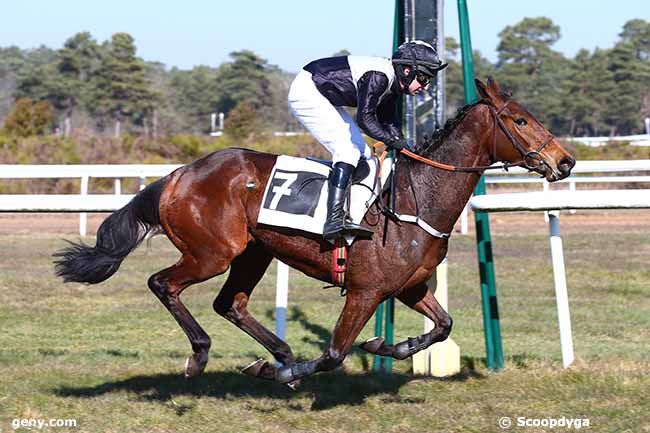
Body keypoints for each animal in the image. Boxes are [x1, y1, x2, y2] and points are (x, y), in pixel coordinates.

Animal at [54, 77, 572, 384]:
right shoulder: (365, 291)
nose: (564, 161)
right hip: (212, 253)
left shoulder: (409, 286)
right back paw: (205, 356)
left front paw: (387, 345)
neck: (415, 196)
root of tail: (179, 174)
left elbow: (442, 326)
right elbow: (334, 354)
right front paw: (286, 371)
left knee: (229, 303)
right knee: (163, 283)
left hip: (253, 252)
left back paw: (279, 353)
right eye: (521, 120)